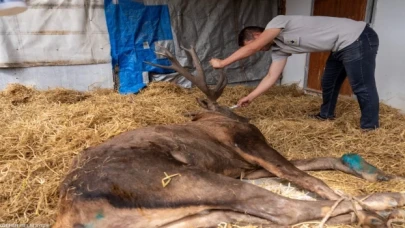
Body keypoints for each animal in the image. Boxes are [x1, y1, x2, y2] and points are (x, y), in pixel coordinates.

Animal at [53, 45, 404, 228]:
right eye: (223, 106)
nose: (241, 114)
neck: (214, 116)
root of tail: (73, 213)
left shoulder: (243, 166)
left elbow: (315, 163)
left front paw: (370, 172)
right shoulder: (248, 143)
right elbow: (307, 176)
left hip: (191, 216)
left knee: (259, 215)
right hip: (184, 179)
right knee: (284, 210)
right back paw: (381, 207)